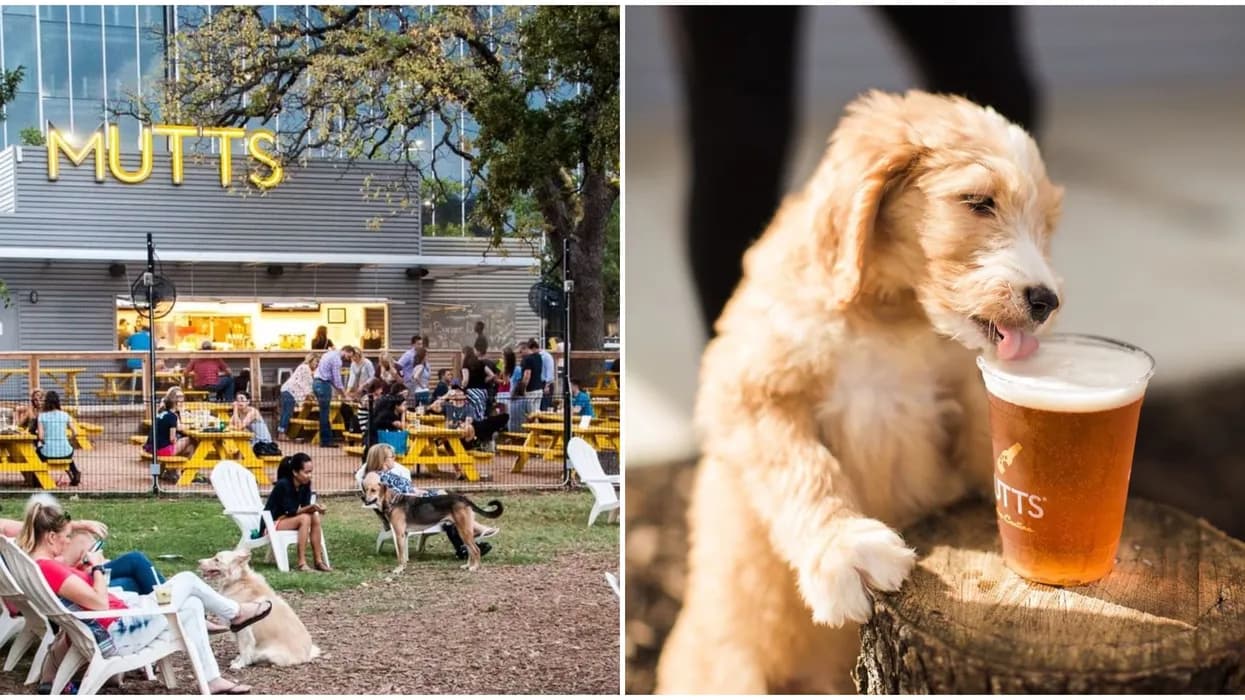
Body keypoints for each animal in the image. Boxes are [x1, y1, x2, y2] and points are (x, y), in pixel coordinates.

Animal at [358, 470, 502, 570]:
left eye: (373, 490)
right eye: (366, 489)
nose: (364, 498)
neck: (393, 502)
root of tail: (463, 498)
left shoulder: (399, 534)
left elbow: (400, 556)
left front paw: (398, 569)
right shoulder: (403, 534)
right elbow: (403, 555)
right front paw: (403, 568)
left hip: (464, 530)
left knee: (476, 550)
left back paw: (474, 568)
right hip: (463, 531)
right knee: (471, 550)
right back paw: (467, 566)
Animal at [657, 88, 1065, 692]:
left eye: (1046, 224)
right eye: (978, 202)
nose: (1046, 301)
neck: (889, 315)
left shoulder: (965, 396)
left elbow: (988, 451)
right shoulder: (750, 390)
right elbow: (801, 465)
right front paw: (842, 548)